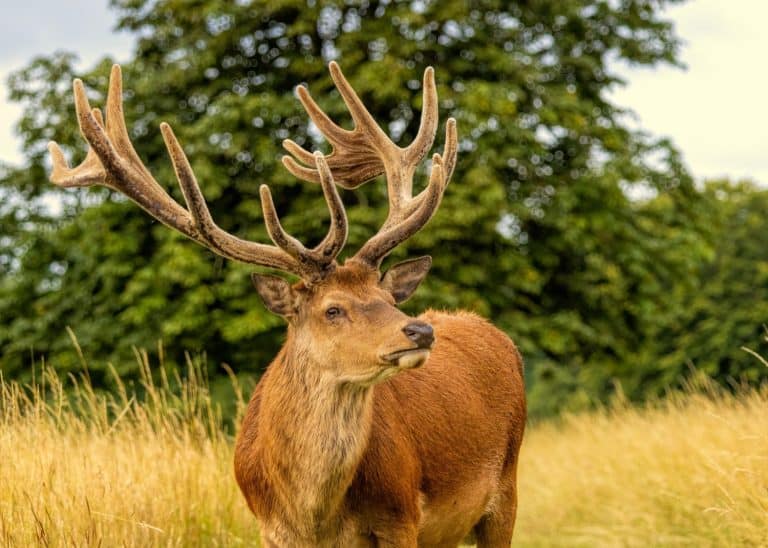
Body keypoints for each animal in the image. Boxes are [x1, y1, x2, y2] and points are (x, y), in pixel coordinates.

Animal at [49, 61, 526, 547]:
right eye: (332, 309)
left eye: (388, 297)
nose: (420, 330)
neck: (313, 516)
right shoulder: (271, 527)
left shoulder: (401, 516)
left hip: (506, 488)